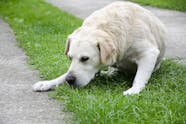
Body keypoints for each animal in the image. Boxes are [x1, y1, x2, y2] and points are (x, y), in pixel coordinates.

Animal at [32, 1, 166, 95]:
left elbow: (140, 76)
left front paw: (134, 89)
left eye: (85, 58)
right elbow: (63, 74)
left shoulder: (149, 53)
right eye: (70, 58)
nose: (70, 80)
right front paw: (48, 82)